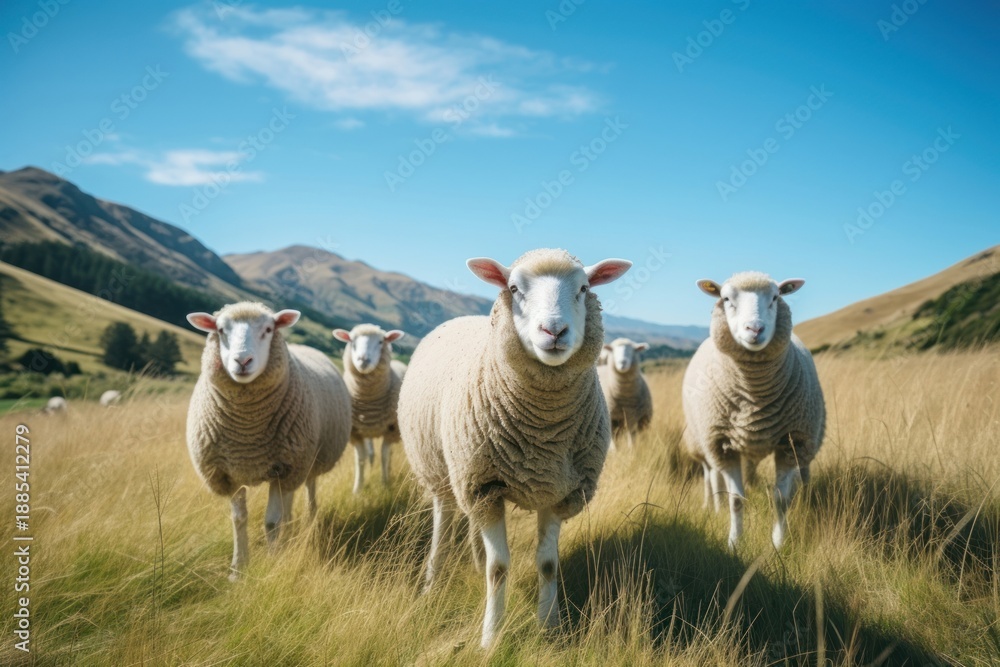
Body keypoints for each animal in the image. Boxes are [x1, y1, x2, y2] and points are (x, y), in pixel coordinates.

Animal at [186, 302, 352, 580]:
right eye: (220, 330)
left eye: (268, 329)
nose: (242, 361)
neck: (247, 433)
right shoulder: (228, 473)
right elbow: (239, 520)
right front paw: (238, 569)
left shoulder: (284, 468)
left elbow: (272, 522)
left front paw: (273, 562)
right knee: (289, 504)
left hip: (306, 463)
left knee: (308, 491)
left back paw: (307, 521)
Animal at [332, 324, 407, 493]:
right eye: (351, 341)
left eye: (381, 341)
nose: (363, 360)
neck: (368, 403)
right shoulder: (355, 432)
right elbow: (360, 459)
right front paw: (357, 489)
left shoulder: (391, 429)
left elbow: (384, 455)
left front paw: (385, 483)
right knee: (371, 452)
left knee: (388, 453)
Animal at [398, 248, 632, 648]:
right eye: (513, 288)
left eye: (584, 288)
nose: (554, 331)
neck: (543, 435)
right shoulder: (484, 487)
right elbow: (499, 568)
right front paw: (491, 639)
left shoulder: (557, 489)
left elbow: (548, 565)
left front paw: (550, 628)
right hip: (445, 472)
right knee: (444, 521)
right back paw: (432, 579)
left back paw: (474, 560)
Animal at [682, 272, 825, 551]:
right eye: (726, 298)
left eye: (776, 297)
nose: (755, 329)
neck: (754, 399)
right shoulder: (722, 445)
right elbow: (736, 500)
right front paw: (734, 543)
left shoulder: (792, 442)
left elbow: (781, 499)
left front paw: (778, 545)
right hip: (704, 442)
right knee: (712, 476)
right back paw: (713, 504)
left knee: (800, 475)